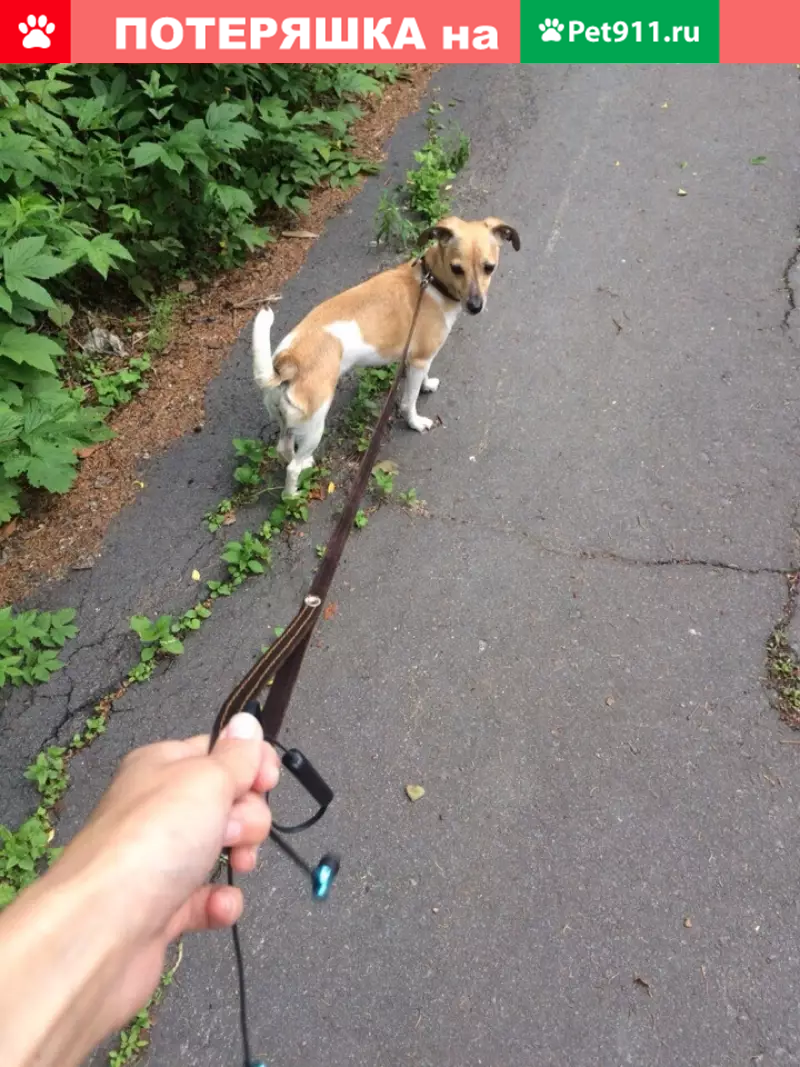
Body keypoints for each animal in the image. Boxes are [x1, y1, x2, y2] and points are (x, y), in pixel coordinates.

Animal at [253, 219, 522, 499]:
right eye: (456, 268)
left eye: (489, 267)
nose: (475, 306)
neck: (431, 283)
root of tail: (288, 361)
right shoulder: (419, 360)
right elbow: (409, 401)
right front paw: (415, 422)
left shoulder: (419, 359)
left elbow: (423, 378)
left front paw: (427, 384)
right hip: (315, 424)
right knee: (292, 468)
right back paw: (292, 495)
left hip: (287, 422)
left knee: (284, 450)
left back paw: (303, 464)